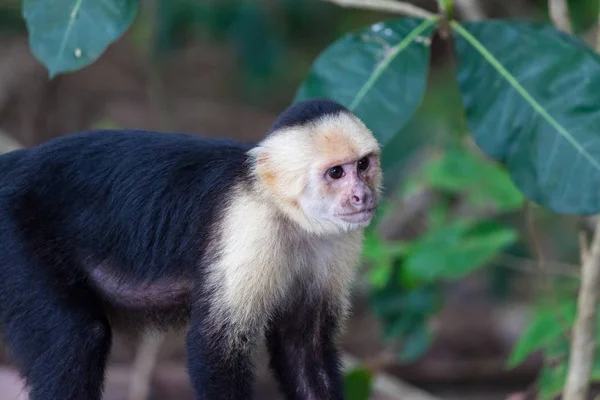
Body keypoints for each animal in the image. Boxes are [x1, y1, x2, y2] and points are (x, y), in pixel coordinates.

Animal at [0, 98, 382, 398]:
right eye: (336, 173)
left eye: (363, 164)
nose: (361, 195)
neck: (288, 213)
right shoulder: (249, 226)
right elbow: (215, 347)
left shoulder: (337, 241)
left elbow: (303, 347)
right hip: (13, 232)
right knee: (75, 337)